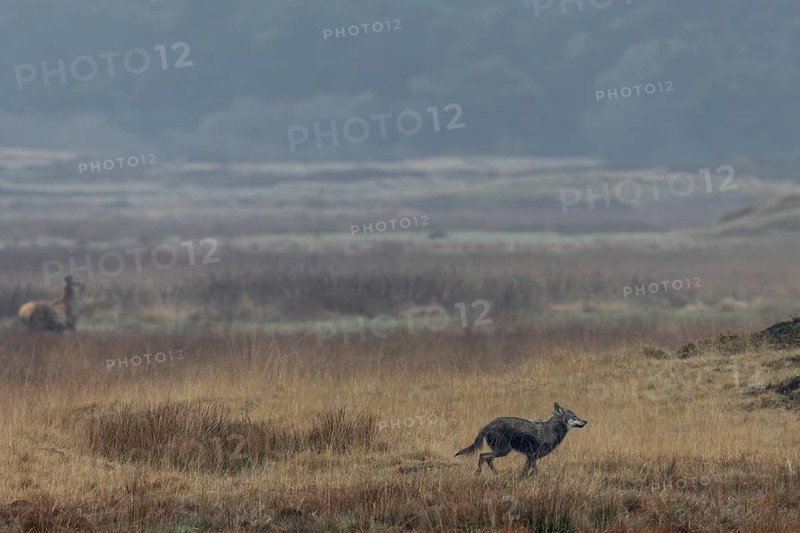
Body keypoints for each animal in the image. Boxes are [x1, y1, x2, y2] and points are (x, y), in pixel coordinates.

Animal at [455, 403, 587, 477]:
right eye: (575, 417)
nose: (586, 421)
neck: (551, 429)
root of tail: (486, 426)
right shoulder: (532, 456)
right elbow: (535, 472)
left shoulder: (530, 457)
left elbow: (526, 471)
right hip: (504, 451)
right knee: (483, 456)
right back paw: (479, 473)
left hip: (502, 451)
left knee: (487, 459)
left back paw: (495, 474)